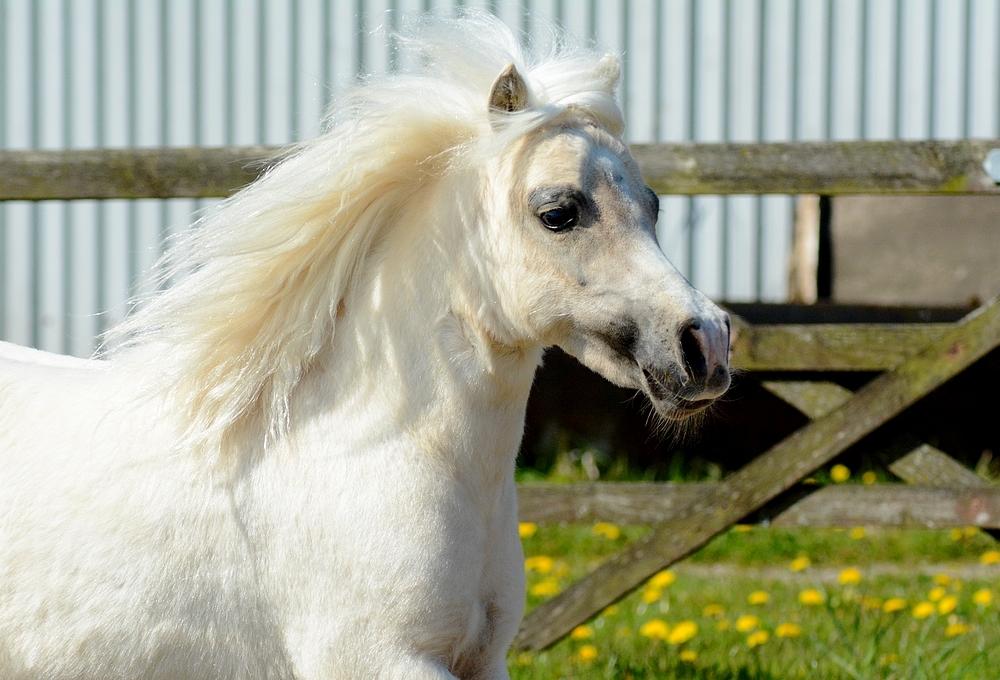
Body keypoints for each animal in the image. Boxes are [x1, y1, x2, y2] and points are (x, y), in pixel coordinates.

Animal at [0, 11, 728, 680]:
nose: (706, 346)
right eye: (559, 213)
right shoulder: (380, 661)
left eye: (653, 205)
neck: (370, 443)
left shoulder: (483, 661)